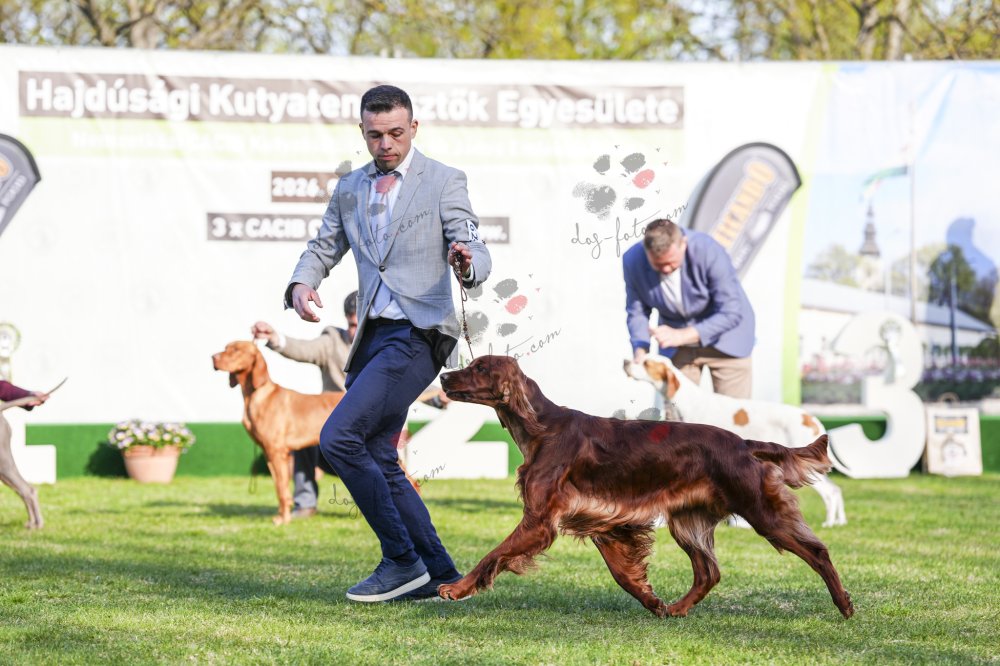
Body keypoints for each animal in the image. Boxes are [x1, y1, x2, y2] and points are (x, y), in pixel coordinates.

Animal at [626, 355, 847, 527]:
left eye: (646, 362)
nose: (625, 361)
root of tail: (810, 417)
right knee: (836, 489)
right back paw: (840, 522)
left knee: (829, 492)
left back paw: (829, 522)